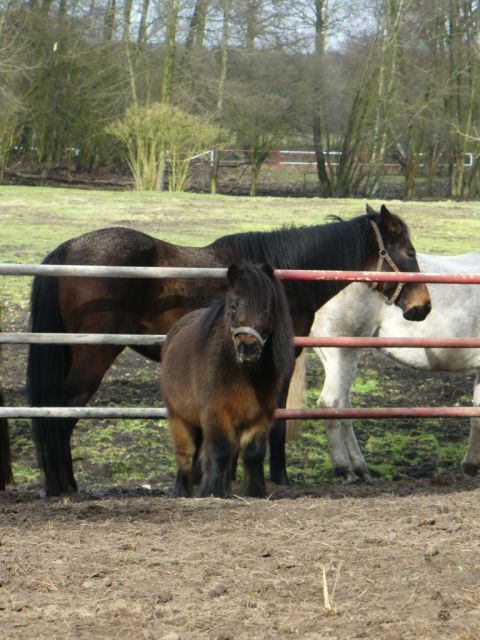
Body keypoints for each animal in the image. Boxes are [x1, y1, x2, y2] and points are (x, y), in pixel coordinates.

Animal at [26, 205, 432, 496]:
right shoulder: (278, 362)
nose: (423, 307)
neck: (282, 277)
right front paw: (278, 477)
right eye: (409, 251)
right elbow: (275, 422)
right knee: (60, 411)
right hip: (93, 354)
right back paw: (64, 486)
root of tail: (69, 250)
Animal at [292, 252, 480, 482]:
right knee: (329, 404)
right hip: (341, 354)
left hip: (334, 359)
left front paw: (471, 466)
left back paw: (361, 469)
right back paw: (345, 469)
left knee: (343, 409)